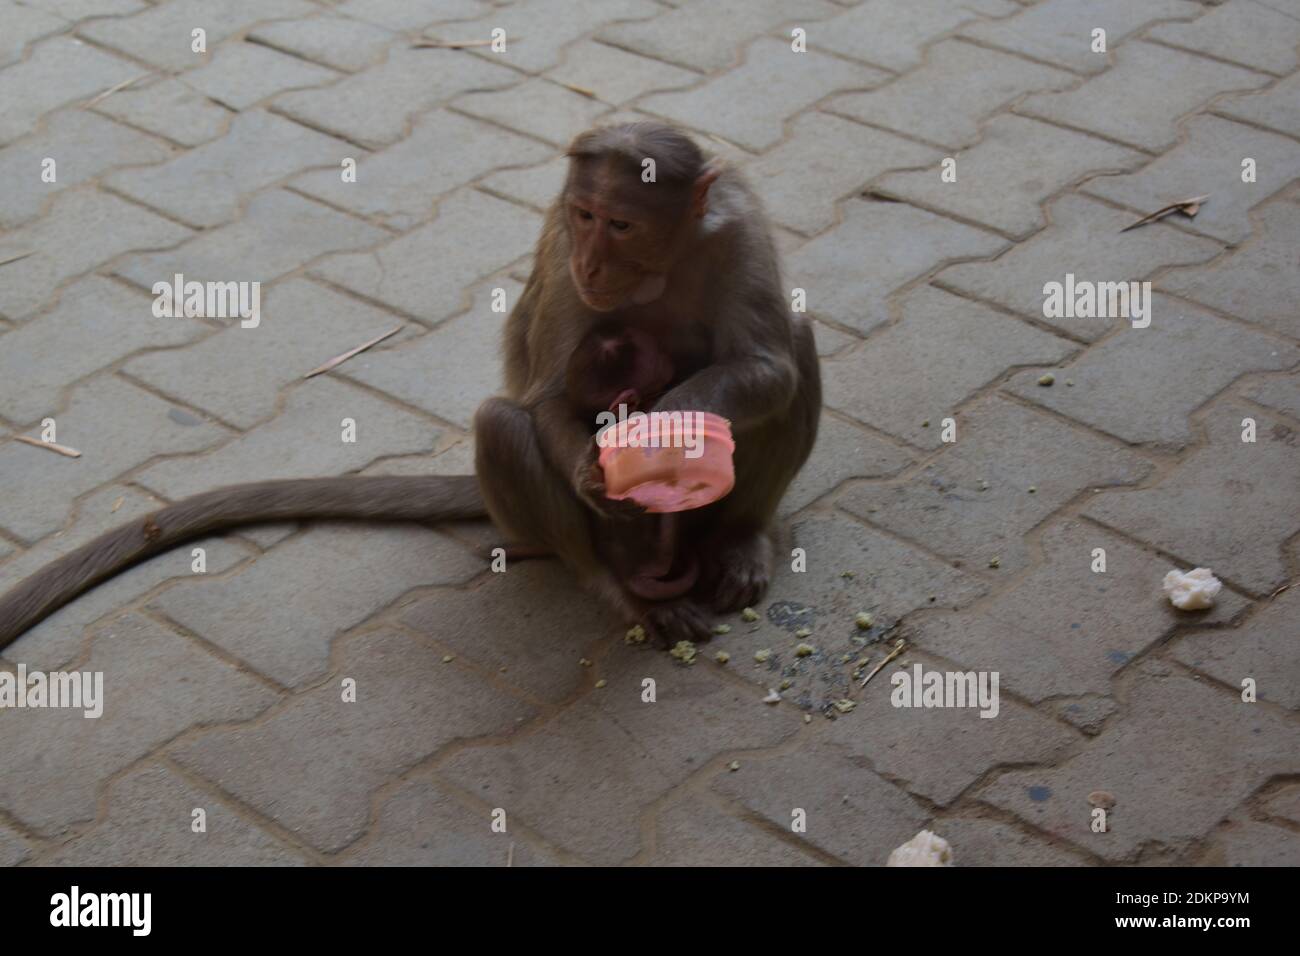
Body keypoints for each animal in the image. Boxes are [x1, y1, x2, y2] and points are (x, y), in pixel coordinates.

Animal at [0, 121, 820, 649]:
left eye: (620, 224)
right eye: (585, 215)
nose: (591, 261)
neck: (659, 264)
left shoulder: (736, 223)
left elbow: (769, 365)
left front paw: (670, 426)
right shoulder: (561, 250)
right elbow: (547, 401)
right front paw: (611, 470)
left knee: (798, 341)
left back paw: (741, 539)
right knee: (502, 425)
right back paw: (614, 589)